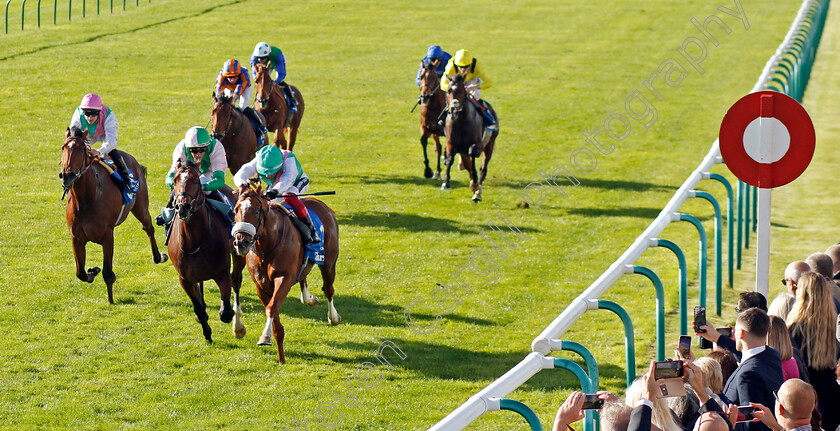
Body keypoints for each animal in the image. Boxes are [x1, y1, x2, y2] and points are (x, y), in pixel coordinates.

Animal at [59, 126, 169, 306]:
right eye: (63, 148)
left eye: (82, 149)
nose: (67, 175)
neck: (88, 199)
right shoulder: (76, 238)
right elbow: (80, 273)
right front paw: (92, 270)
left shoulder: (107, 236)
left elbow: (108, 273)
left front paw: (111, 300)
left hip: (140, 207)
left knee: (148, 227)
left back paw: (159, 256)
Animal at [169, 159, 248, 344]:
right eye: (175, 180)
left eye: (196, 181)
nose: (182, 207)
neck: (193, 242)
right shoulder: (185, 279)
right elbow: (198, 308)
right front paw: (207, 332)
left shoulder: (222, 273)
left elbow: (225, 312)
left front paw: (232, 321)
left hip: (239, 251)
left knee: (236, 281)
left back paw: (238, 325)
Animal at [231, 183, 340, 364]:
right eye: (236, 209)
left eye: (256, 211)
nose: (241, 242)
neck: (268, 244)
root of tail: (321, 204)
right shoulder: (261, 286)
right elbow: (273, 312)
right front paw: (280, 356)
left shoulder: (284, 278)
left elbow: (271, 307)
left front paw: (265, 337)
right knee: (304, 278)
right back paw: (310, 299)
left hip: (329, 263)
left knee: (328, 289)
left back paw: (333, 317)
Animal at [442, 74, 496, 202]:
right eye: (449, 90)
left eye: (463, 91)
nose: (454, 110)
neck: (461, 121)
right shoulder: (450, 144)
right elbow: (449, 159)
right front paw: (446, 182)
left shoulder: (478, 145)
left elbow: (473, 153)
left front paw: (475, 184)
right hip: (463, 153)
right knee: (468, 165)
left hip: (490, 145)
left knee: (483, 169)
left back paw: (477, 193)